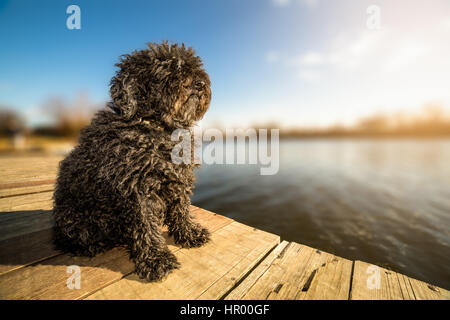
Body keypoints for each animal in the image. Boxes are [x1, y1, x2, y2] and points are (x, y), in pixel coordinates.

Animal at [53, 41, 212, 282]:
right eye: (165, 69)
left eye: (194, 65)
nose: (200, 83)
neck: (157, 128)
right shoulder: (138, 190)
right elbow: (146, 227)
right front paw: (156, 260)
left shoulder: (177, 179)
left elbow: (181, 209)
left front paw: (190, 233)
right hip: (76, 219)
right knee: (73, 240)